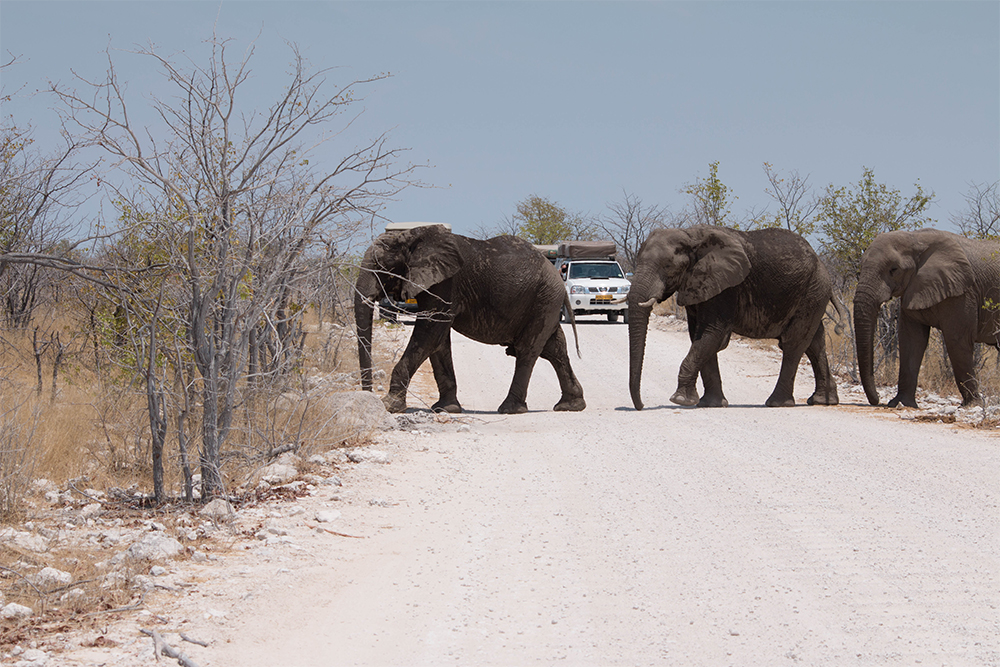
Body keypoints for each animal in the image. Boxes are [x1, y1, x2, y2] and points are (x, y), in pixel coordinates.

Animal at [356, 227, 584, 414]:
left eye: (382, 267)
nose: (369, 396)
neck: (411, 235)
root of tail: (557, 276)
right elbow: (438, 340)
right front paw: (446, 409)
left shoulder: (446, 284)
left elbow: (430, 332)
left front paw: (390, 406)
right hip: (545, 302)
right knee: (554, 349)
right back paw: (570, 406)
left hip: (544, 299)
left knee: (527, 350)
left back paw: (510, 409)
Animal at [628, 227, 840, 410]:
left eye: (668, 266)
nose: (641, 406)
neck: (691, 235)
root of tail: (821, 263)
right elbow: (698, 336)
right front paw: (711, 404)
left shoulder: (727, 288)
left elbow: (712, 334)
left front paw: (680, 400)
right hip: (814, 293)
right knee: (814, 342)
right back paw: (823, 401)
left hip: (813, 291)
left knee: (793, 344)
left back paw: (777, 403)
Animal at [852, 228, 1000, 408]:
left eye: (894, 269)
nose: (877, 400)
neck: (916, 238)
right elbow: (912, 340)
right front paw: (901, 403)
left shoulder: (963, 292)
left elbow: (957, 341)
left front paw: (972, 405)